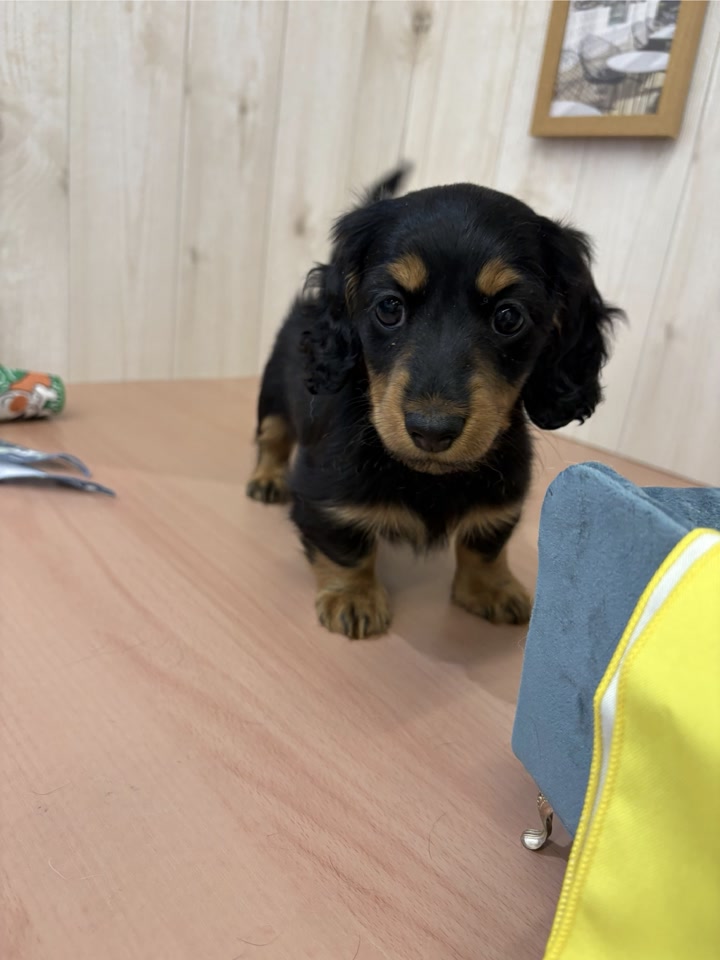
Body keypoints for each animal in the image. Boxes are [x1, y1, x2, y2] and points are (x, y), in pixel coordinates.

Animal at [247, 167, 621, 639]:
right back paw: (266, 478)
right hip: (274, 397)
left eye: (509, 317)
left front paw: (491, 588)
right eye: (389, 307)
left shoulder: (503, 495)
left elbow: (487, 540)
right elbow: (344, 544)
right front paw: (353, 597)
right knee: (273, 438)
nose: (431, 431)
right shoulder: (322, 493)